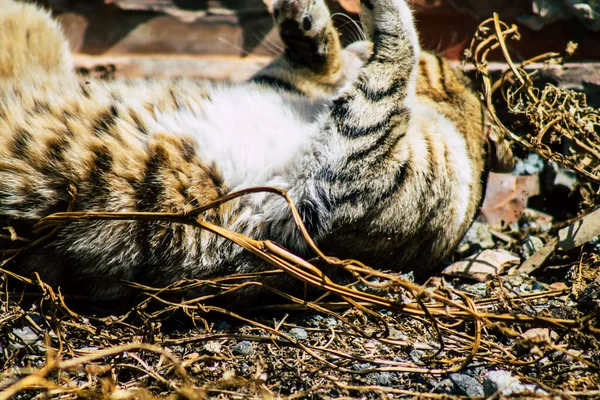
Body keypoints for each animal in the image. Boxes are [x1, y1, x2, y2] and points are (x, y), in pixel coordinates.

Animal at [0, 0, 512, 302]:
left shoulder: (344, 170)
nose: (359, 43)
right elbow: (312, 65)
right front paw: (309, 22)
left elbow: (395, 57)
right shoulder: (295, 89)